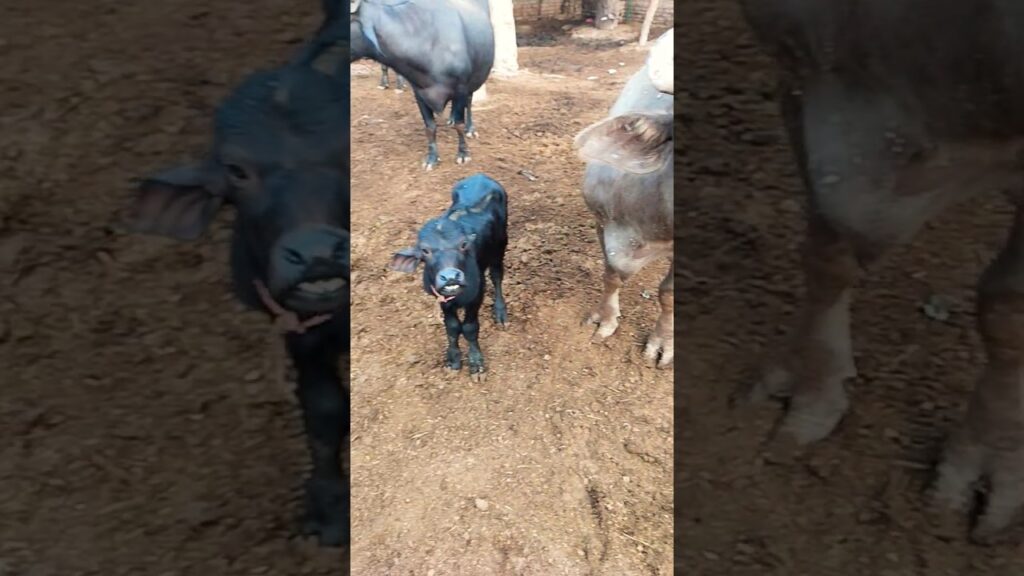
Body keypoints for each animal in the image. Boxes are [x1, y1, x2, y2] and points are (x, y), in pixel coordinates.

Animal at [387, 172, 507, 379]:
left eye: (464, 244)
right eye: (425, 250)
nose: (451, 277)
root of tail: (481, 176)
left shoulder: (477, 295)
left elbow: (469, 328)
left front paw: (476, 364)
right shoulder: (441, 297)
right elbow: (451, 326)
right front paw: (453, 358)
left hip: (500, 246)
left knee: (497, 275)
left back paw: (500, 311)